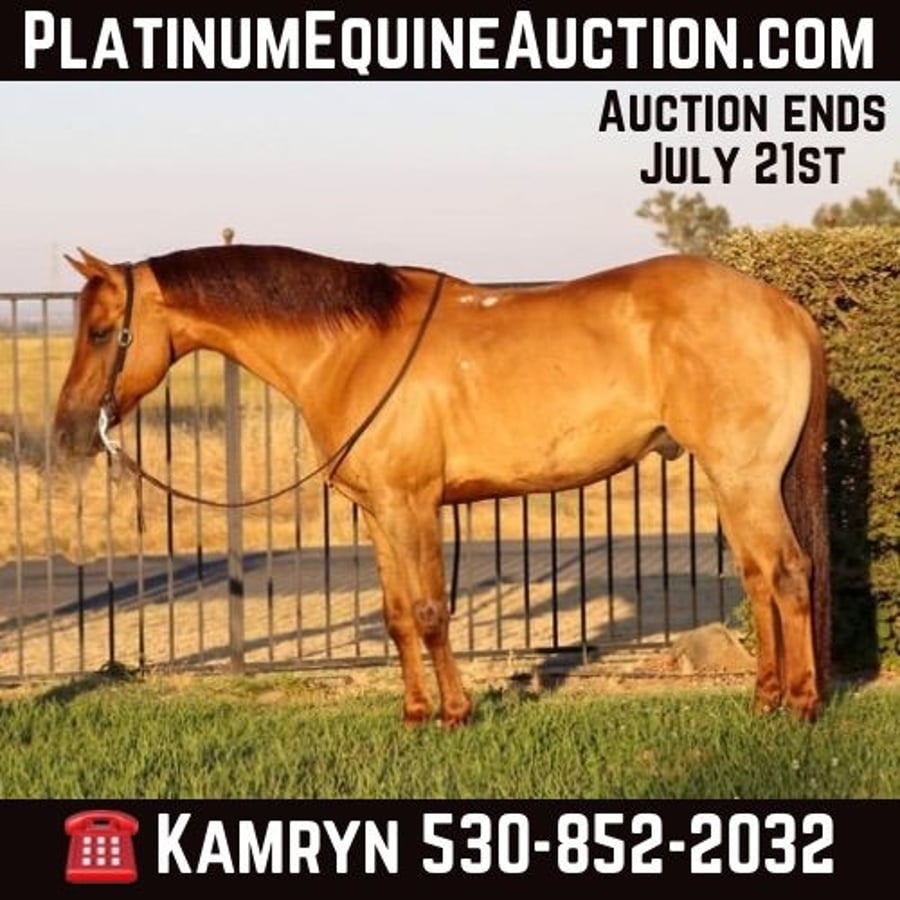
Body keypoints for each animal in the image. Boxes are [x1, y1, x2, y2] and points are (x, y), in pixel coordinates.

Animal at [53, 244, 831, 726]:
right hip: (732, 479)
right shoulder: (377, 513)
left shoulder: (413, 505)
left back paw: (802, 705)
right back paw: (765, 699)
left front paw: (456, 715)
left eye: (101, 331)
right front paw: (415, 714)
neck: (354, 348)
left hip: (746, 477)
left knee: (789, 573)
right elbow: (398, 616)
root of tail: (780, 305)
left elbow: (430, 612)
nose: (67, 433)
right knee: (759, 578)